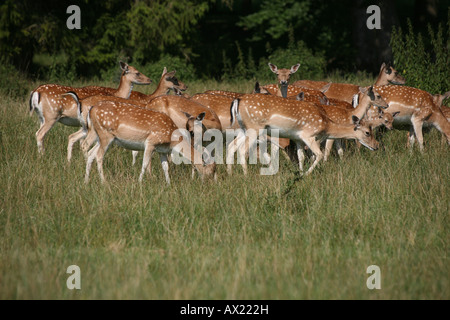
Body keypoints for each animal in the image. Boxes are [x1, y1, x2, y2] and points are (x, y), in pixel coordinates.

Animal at [85, 100, 218, 185]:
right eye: (211, 170)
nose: (209, 184)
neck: (172, 139)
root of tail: (91, 110)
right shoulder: (151, 142)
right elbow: (144, 164)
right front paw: (139, 183)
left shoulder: (162, 150)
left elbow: (165, 167)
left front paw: (169, 184)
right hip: (105, 134)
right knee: (98, 156)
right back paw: (104, 182)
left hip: (100, 137)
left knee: (91, 154)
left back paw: (86, 181)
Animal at [227, 94, 378, 176]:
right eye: (367, 132)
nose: (376, 145)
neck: (326, 125)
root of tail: (237, 101)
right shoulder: (308, 135)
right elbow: (318, 155)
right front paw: (305, 174)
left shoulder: (297, 138)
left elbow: (301, 156)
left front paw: (299, 172)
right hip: (254, 128)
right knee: (242, 150)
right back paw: (246, 176)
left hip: (244, 128)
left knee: (231, 146)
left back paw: (231, 173)